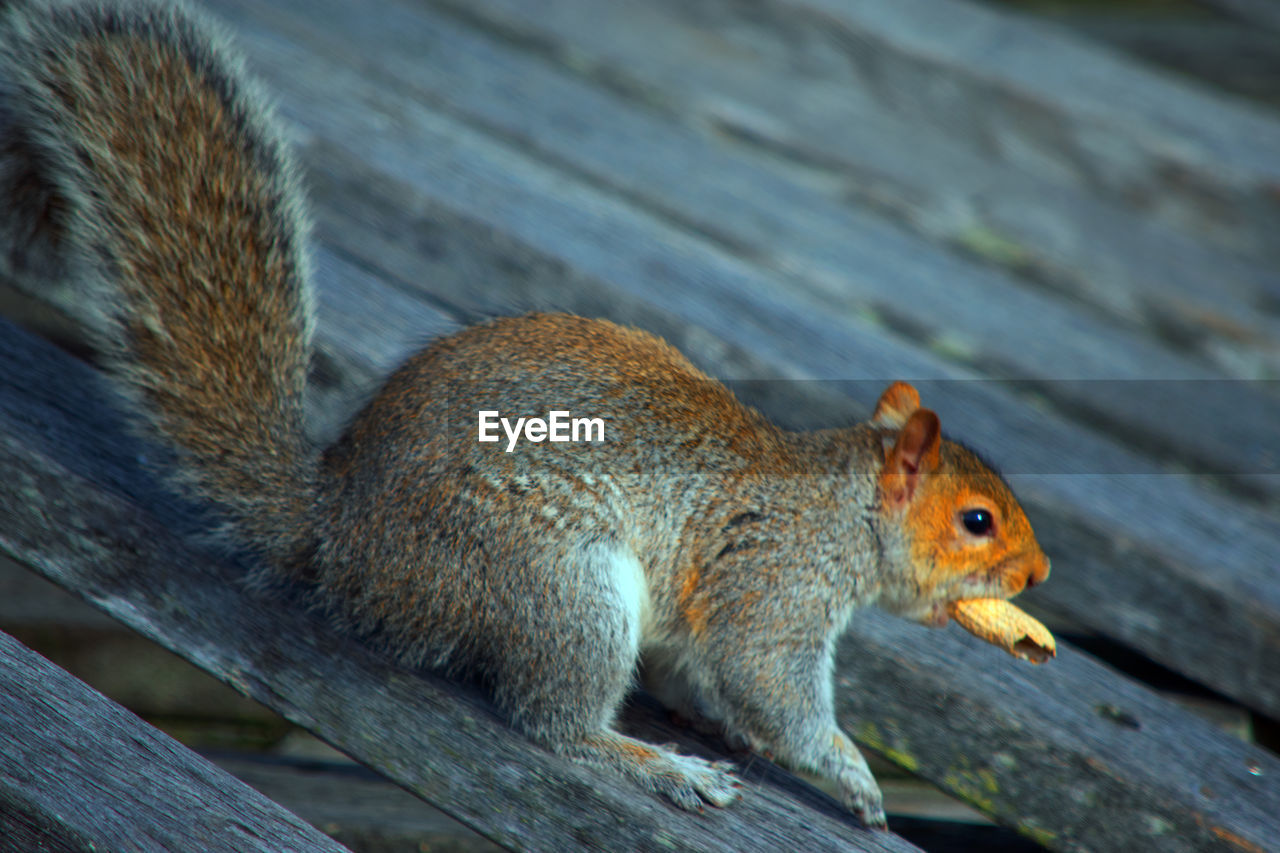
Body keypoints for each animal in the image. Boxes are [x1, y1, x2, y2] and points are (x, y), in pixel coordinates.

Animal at [2, 0, 1049, 824]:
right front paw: (855, 777)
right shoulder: (775, 583)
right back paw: (651, 761)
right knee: (555, 724)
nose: (1036, 574)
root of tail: (344, 541)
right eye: (977, 519)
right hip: (561, 583)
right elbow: (770, 686)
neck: (844, 505)